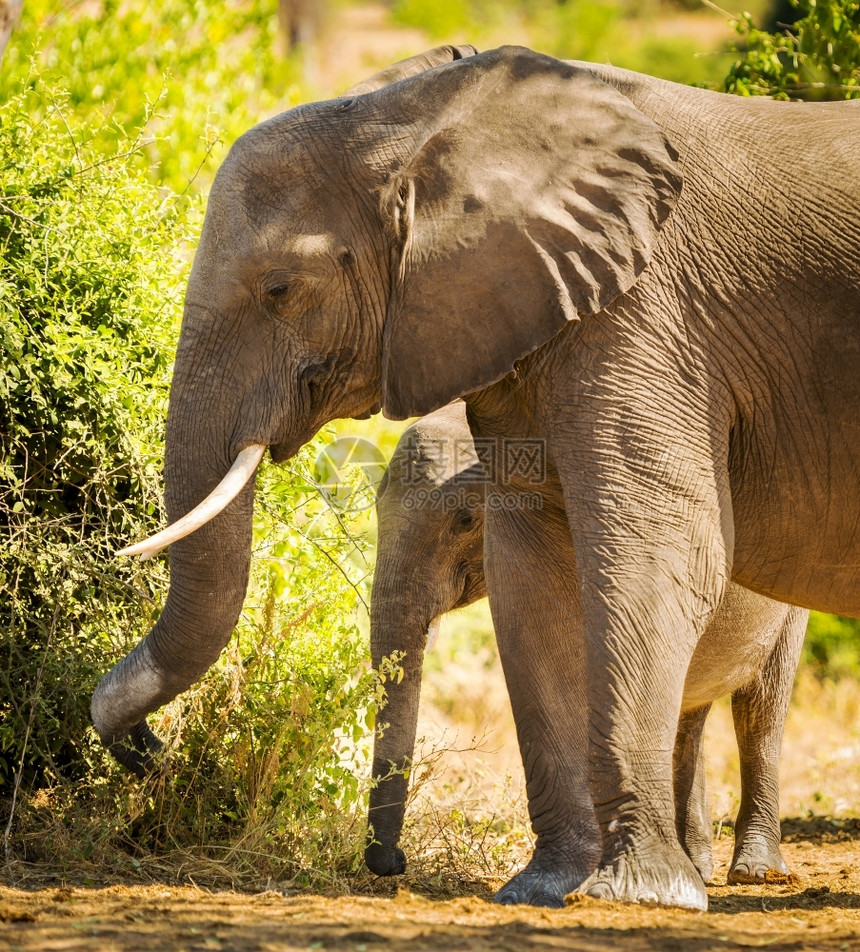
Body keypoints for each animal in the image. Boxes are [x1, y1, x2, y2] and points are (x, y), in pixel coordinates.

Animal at [368, 402, 808, 908]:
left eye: (464, 520)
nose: (394, 863)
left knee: (761, 711)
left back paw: (756, 874)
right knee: (688, 715)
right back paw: (695, 868)